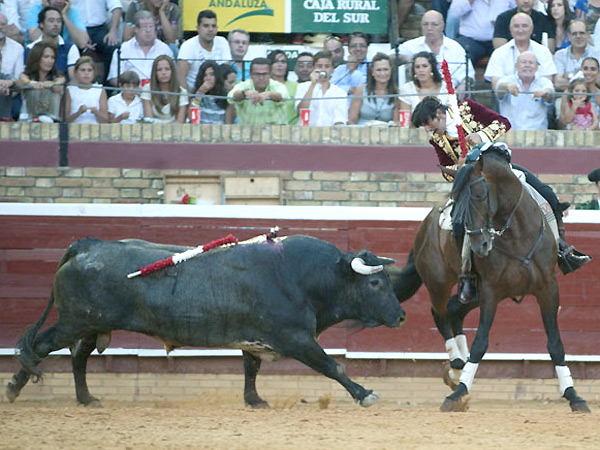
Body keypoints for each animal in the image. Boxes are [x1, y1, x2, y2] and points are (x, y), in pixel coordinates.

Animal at [5, 236, 404, 408]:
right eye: (375, 284)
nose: (400, 315)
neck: (307, 276)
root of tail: (85, 246)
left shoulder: (255, 338)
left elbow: (251, 369)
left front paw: (254, 400)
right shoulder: (296, 338)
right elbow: (333, 366)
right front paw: (365, 394)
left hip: (89, 326)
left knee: (78, 357)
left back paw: (87, 399)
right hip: (74, 322)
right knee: (40, 346)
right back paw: (13, 389)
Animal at [394, 146, 592, 414]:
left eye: (479, 194)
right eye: (456, 199)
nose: (480, 245)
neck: (517, 234)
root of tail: (425, 225)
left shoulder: (548, 288)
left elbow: (555, 344)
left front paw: (573, 395)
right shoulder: (491, 291)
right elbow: (481, 342)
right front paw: (458, 393)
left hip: (472, 293)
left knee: (454, 310)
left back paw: (458, 367)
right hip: (439, 282)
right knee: (440, 313)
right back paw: (457, 362)